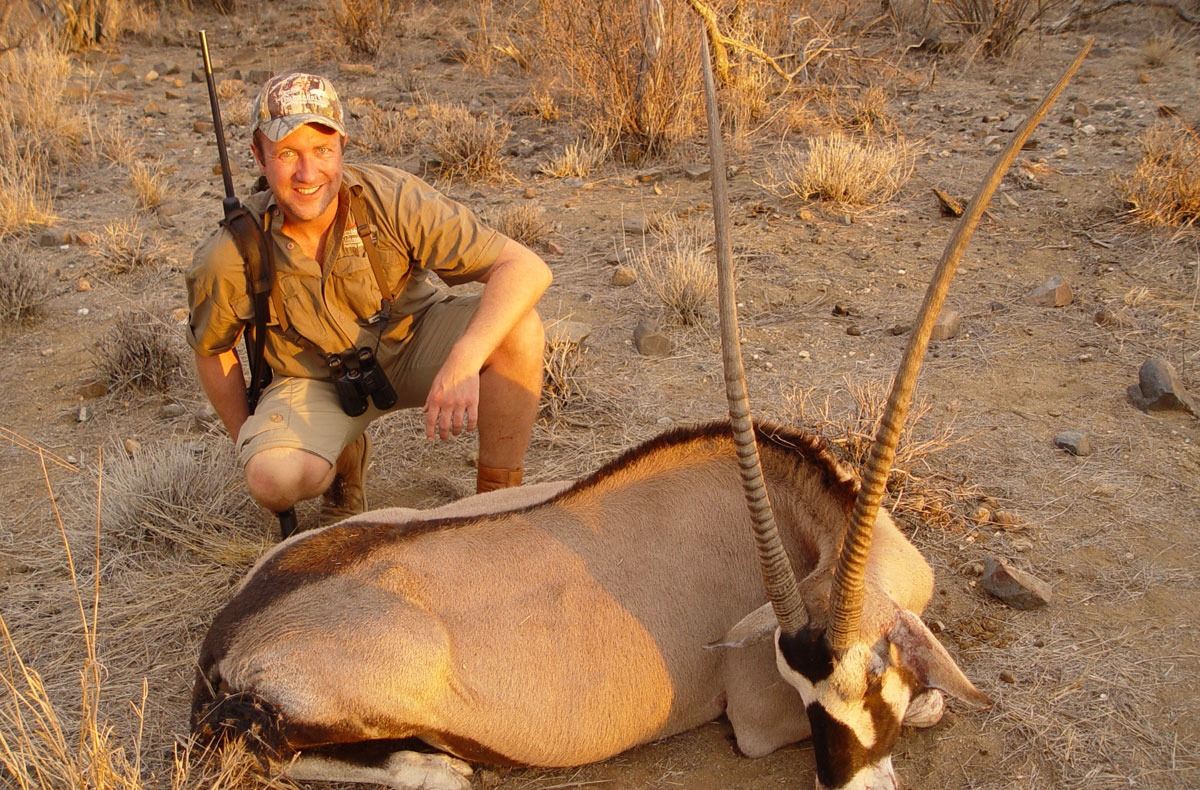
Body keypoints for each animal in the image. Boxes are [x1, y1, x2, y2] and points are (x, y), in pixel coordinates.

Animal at [190, 34, 1091, 790]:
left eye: (875, 674)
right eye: (798, 685)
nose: (851, 784)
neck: (814, 520)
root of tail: (226, 642)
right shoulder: (752, 712)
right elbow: (932, 700)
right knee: (359, 762)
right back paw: (435, 758)